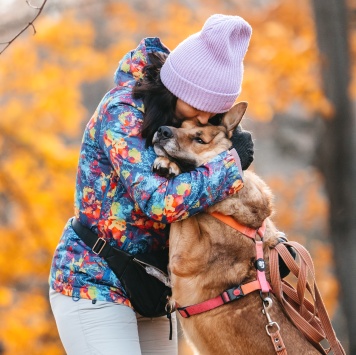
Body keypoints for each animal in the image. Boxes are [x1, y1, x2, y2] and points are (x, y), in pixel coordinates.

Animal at [152, 101, 322, 354]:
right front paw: (168, 163)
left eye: (199, 139)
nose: (162, 130)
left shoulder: (184, 256)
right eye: (181, 124)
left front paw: (171, 165)